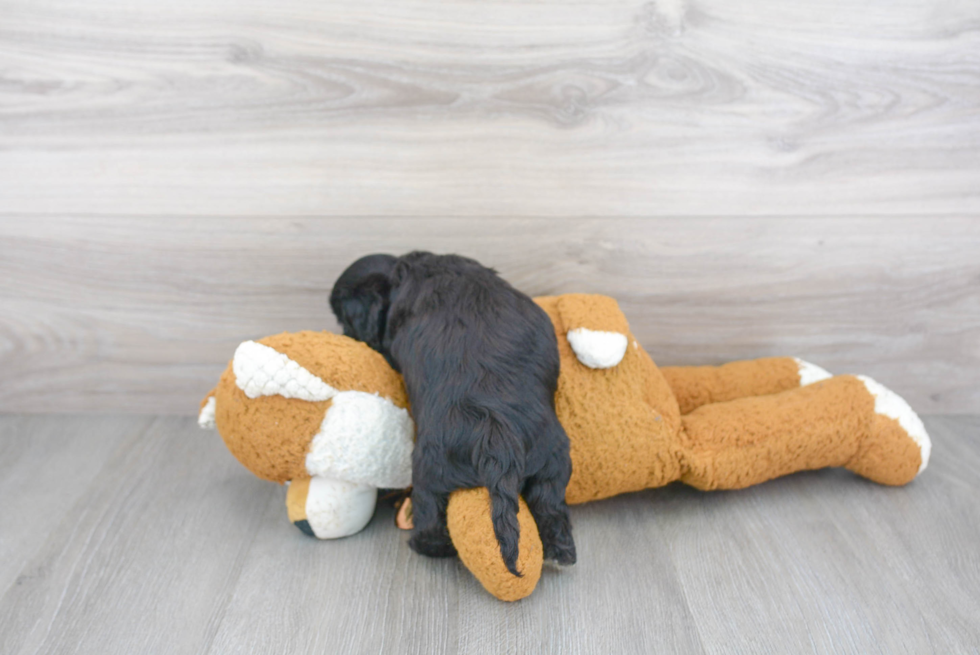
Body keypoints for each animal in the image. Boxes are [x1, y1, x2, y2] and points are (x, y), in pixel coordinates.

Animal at [332, 251, 576, 576]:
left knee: (430, 510)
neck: (404, 270)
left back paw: (426, 545)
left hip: (429, 469)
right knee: (550, 504)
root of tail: (497, 436)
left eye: (344, 319)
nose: (347, 336)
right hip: (553, 459)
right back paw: (561, 554)